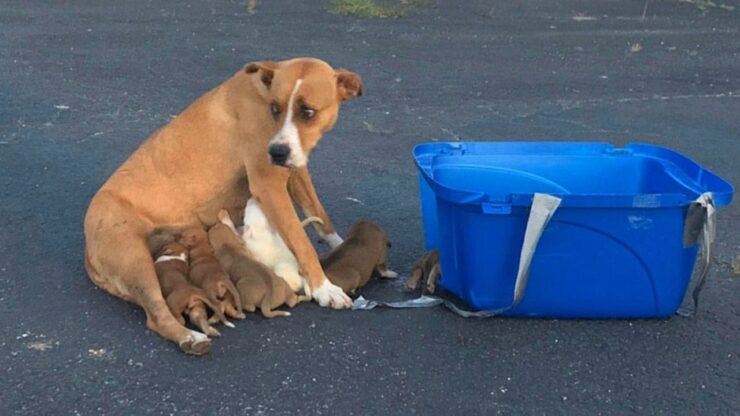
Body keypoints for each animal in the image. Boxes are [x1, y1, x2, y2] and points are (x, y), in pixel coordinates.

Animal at [85, 57, 362, 352]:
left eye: (307, 112)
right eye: (275, 108)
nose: (276, 152)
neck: (262, 91)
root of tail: (88, 249)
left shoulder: (296, 171)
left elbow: (320, 217)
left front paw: (342, 247)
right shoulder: (269, 185)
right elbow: (301, 241)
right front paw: (324, 288)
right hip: (136, 261)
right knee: (157, 314)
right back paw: (191, 337)